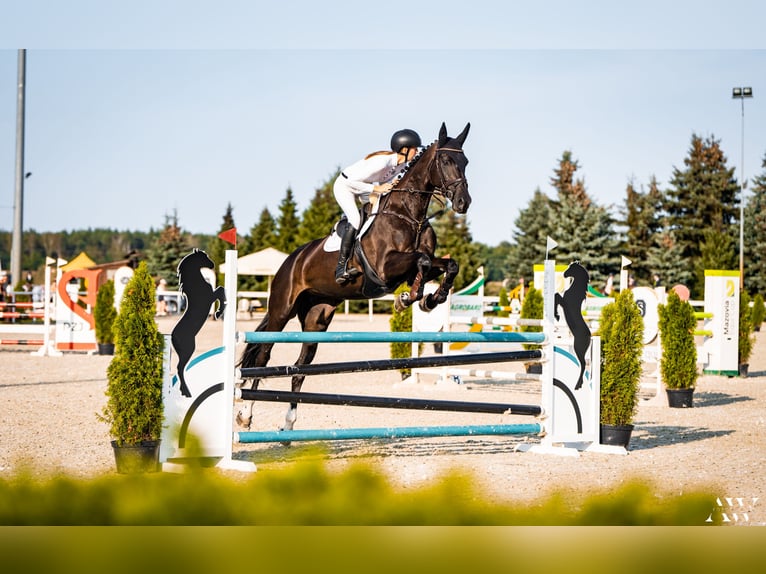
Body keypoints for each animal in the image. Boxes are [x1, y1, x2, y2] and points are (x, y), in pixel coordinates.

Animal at [171, 250, 225, 398]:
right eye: (204, 257)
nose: (212, 265)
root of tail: (172, 337)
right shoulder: (210, 297)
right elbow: (221, 290)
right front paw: (218, 313)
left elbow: (220, 290)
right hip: (189, 349)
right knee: (180, 368)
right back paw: (187, 392)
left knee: (180, 369)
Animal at [237, 124, 472, 434]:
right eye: (446, 161)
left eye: (465, 162)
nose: (463, 203)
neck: (409, 215)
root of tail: (291, 260)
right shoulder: (385, 268)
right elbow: (420, 261)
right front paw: (408, 298)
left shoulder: (419, 265)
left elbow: (446, 265)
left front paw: (430, 299)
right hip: (281, 311)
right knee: (263, 357)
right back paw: (245, 414)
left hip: (316, 319)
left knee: (300, 368)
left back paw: (288, 425)